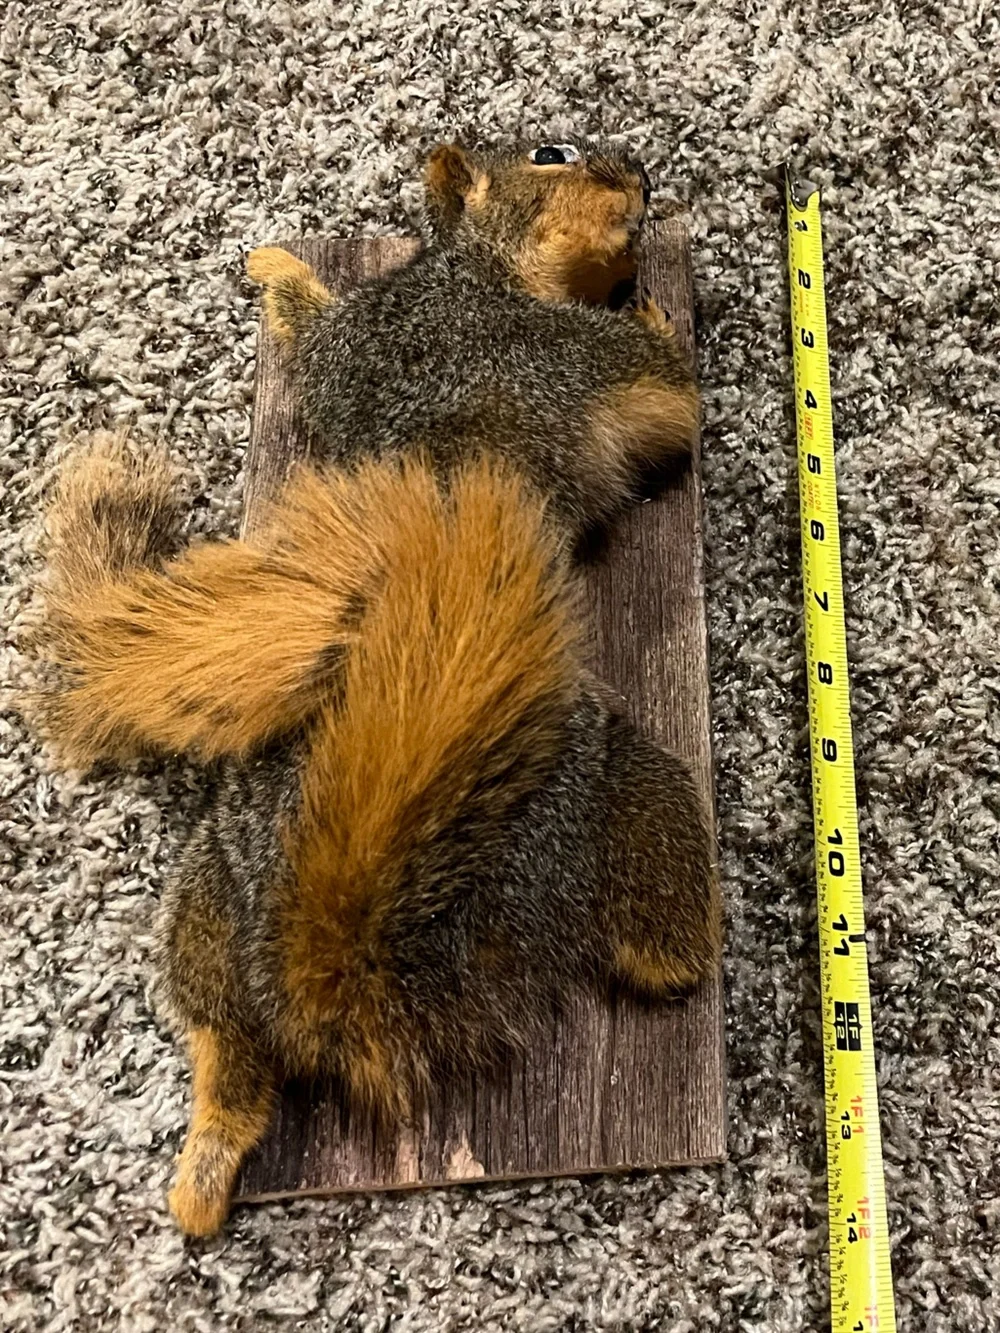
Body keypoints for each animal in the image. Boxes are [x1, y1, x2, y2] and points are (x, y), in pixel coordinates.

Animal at [30, 138, 720, 1238]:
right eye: (552, 153)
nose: (642, 178)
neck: (481, 267)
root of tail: (337, 975)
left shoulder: (356, 347)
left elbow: (313, 345)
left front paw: (275, 274)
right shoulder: (560, 351)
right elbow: (665, 389)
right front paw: (658, 309)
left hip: (208, 915)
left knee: (227, 1054)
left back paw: (202, 1173)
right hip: (621, 796)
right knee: (661, 942)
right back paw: (697, 954)